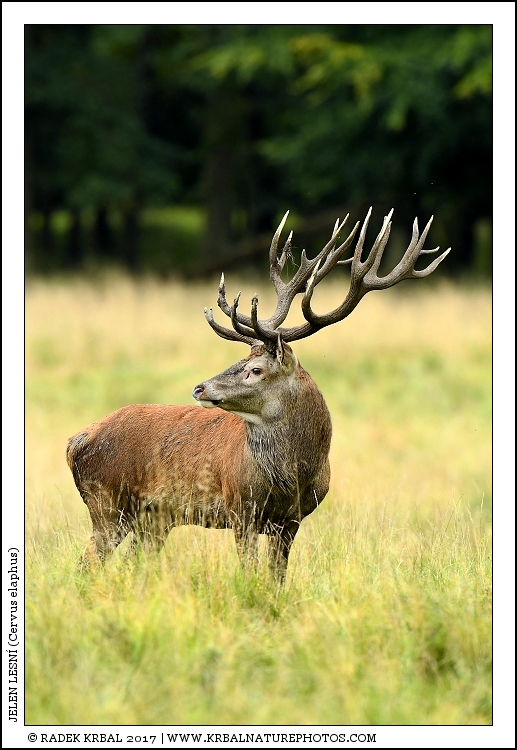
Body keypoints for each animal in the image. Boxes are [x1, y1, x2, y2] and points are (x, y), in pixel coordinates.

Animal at [67, 208, 449, 583]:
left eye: (255, 369)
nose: (199, 387)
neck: (294, 476)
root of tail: (77, 440)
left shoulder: (292, 520)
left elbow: (276, 578)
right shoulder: (240, 510)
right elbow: (250, 574)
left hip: (154, 517)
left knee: (130, 564)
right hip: (107, 502)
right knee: (87, 563)